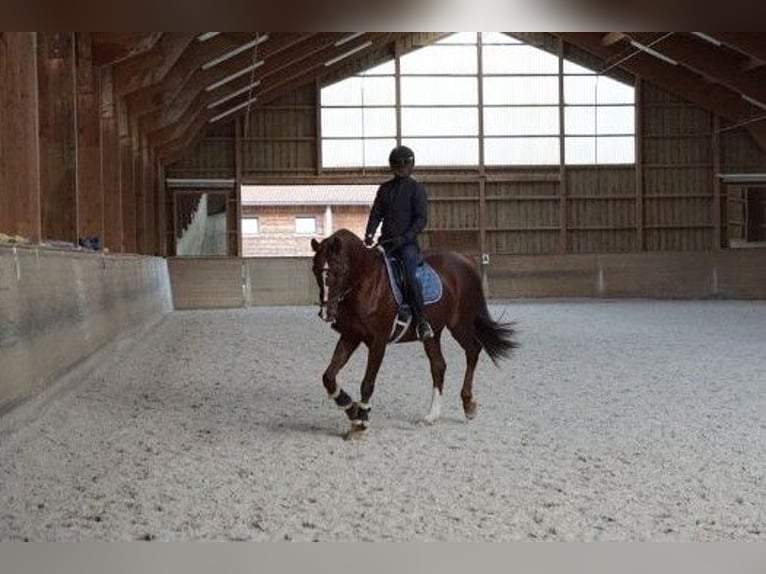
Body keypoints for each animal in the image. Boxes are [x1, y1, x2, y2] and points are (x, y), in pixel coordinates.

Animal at [310, 230, 516, 440]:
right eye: (315, 270)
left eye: (341, 270)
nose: (326, 313)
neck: (366, 283)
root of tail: (466, 262)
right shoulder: (351, 336)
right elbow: (328, 376)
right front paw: (351, 409)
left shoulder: (378, 341)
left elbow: (367, 382)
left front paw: (361, 421)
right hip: (433, 333)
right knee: (439, 366)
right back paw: (432, 415)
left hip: (460, 325)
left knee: (473, 350)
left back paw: (468, 405)